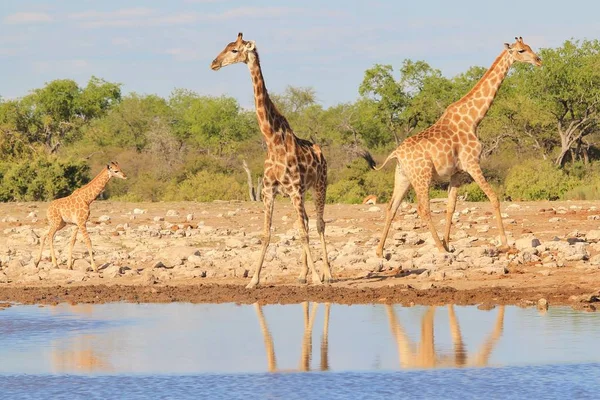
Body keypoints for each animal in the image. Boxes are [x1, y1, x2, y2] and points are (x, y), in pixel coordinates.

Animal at [211, 32, 332, 288]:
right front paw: (253, 279)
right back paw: (302, 274)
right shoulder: (269, 191)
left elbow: (304, 232)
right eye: (226, 46)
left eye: (235, 50)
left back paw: (327, 274)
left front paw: (318, 278)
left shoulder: (294, 190)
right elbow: (266, 233)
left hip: (319, 185)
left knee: (318, 224)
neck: (272, 140)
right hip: (303, 193)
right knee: (307, 222)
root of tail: (321, 153)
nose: (214, 63)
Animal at [370, 37, 544, 256]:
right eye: (521, 51)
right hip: (422, 176)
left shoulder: (456, 172)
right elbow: (494, 198)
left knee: (391, 207)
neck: (473, 119)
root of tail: (396, 153)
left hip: (403, 177)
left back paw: (380, 251)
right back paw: (438, 249)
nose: (538, 60)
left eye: (530, 47)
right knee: (423, 208)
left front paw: (448, 243)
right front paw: (504, 243)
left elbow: (451, 206)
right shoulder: (472, 163)